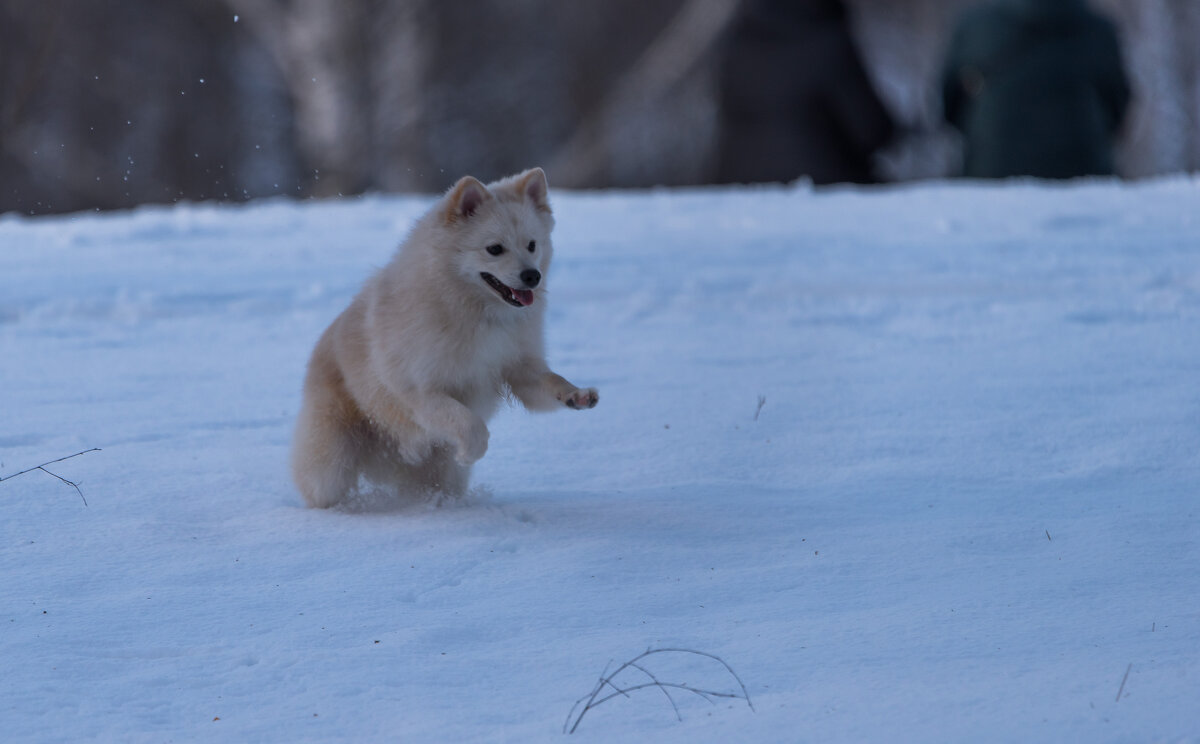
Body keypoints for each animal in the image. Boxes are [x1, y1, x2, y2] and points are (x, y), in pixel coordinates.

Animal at [291, 165, 600, 508]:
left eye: (532, 245)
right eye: (495, 249)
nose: (533, 276)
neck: (475, 311)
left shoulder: (518, 368)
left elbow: (549, 382)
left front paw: (578, 395)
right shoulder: (419, 390)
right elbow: (468, 422)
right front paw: (471, 452)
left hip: (441, 476)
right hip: (331, 464)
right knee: (324, 486)